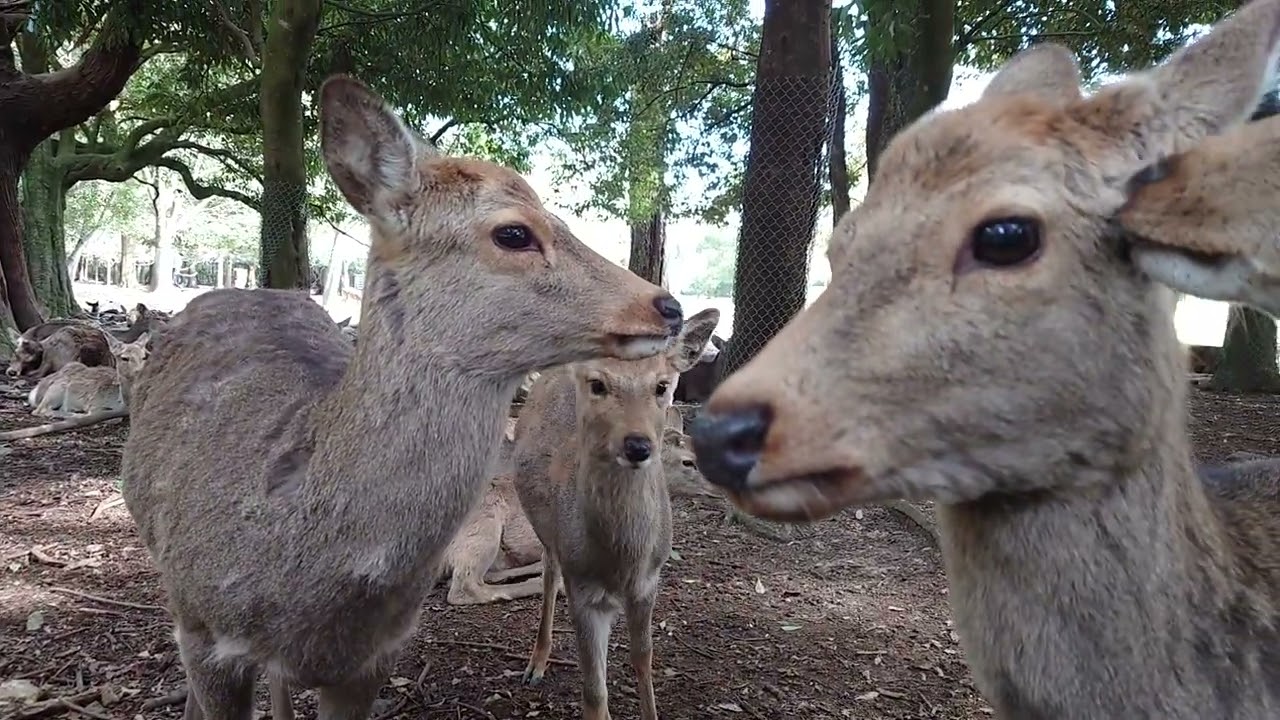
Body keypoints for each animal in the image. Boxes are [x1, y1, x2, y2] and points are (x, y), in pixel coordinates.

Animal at [513, 307, 719, 720]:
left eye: (661, 385)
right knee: (548, 577)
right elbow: (594, 691)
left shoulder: (650, 581)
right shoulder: (583, 588)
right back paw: (535, 664)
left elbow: (643, 658)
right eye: (597, 383)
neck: (623, 560)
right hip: (548, 536)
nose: (638, 445)